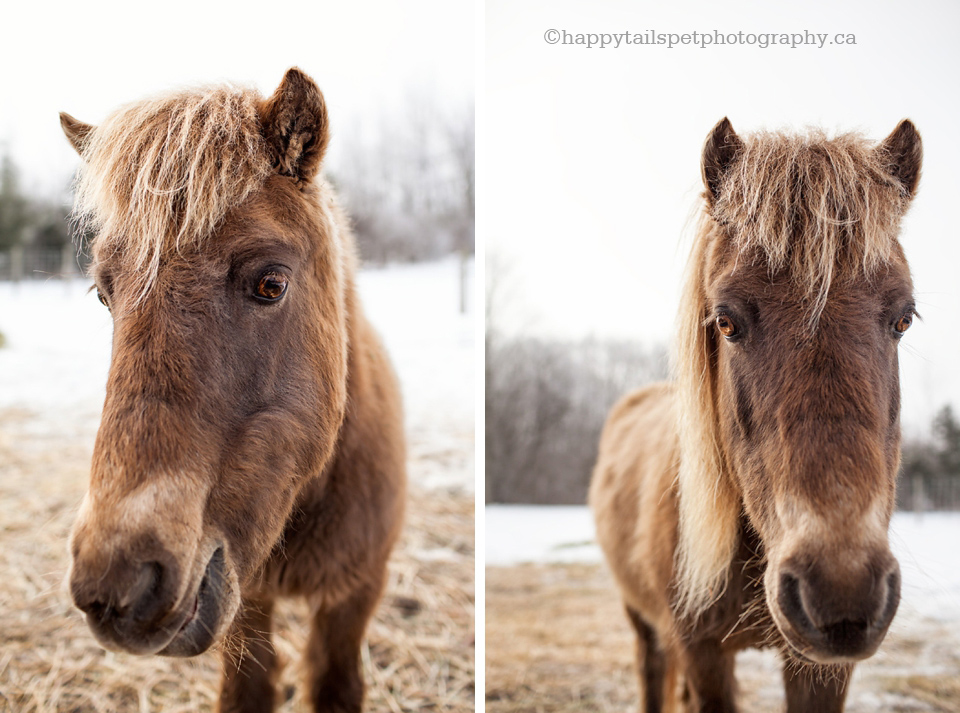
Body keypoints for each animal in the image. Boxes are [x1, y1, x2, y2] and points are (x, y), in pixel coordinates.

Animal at [592, 118, 924, 712]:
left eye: (903, 318)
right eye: (726, 321)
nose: (841, 589)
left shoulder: (821, 670)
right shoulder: (701, 651)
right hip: (643, 623)